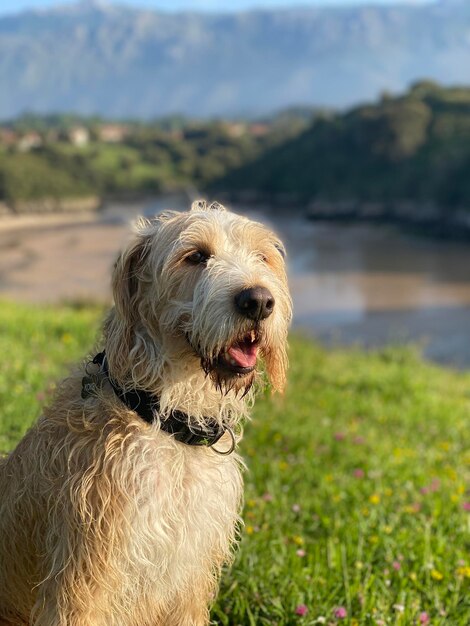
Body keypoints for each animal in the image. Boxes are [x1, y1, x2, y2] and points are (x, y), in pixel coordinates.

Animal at [0, 200, 292, 624]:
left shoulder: (190, 580)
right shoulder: (81, 579)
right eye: (196, 256)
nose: (258, 301)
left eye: (262, 256)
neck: (165, 421)